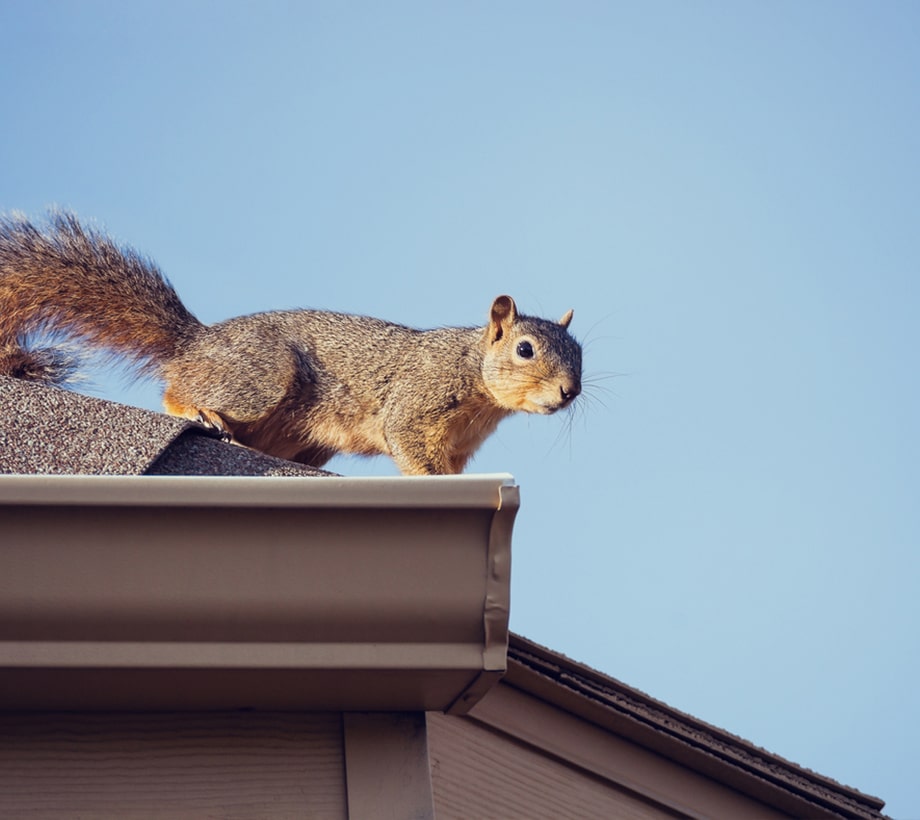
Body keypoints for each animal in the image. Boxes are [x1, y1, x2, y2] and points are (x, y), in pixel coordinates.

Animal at [1, 211, 584, 474]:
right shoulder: (417, 401)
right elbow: (410, 446)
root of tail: (197, 343)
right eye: (525, 349)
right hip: (261, 377)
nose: (569, 392)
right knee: (176, 391)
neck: (474, 375)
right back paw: (200, 412)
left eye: (581, 354)